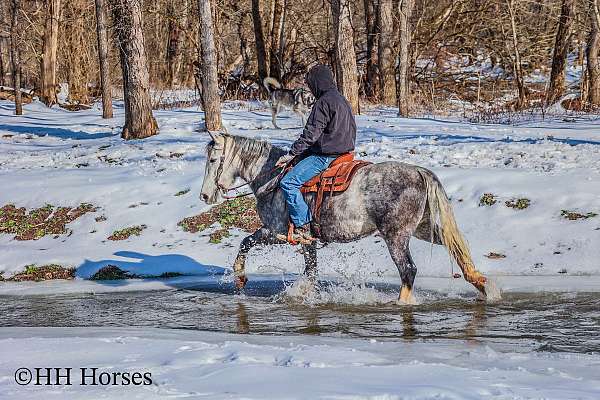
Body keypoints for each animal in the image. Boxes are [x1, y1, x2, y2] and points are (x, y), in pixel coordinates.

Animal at [199, 133, 500, 302]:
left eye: (213, 160)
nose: (204, 195)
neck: (272, 178)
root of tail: (418, 171)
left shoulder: (276, 232)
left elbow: (245, 242)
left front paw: (240, 278)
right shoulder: (307, 240)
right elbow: (311, 271)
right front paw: (302, 293)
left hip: (396, 236)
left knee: (408, 270)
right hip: (422, 229)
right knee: (455, 248)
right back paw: (484, 285)